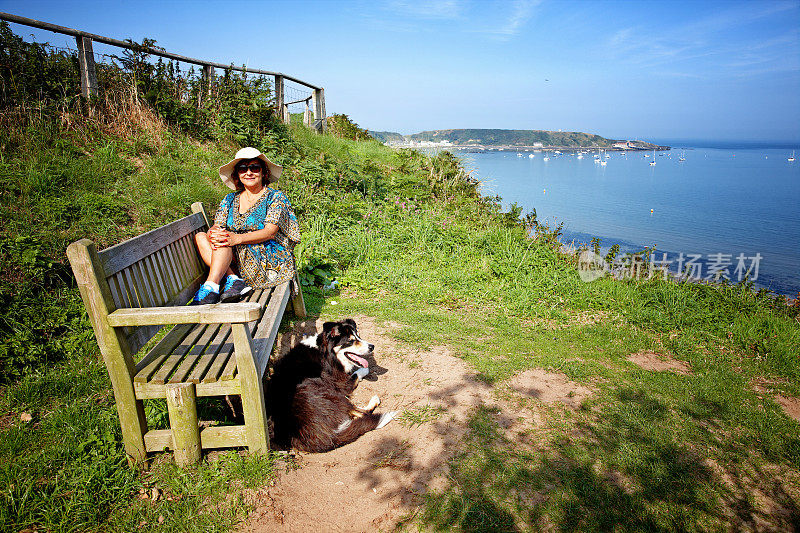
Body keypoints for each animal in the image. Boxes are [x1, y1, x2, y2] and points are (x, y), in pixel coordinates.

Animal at [268, 318, 396, 450]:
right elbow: (356, 374)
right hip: (331, 393)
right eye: (350, 341)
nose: (372, 347)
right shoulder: (341, 383)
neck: (325, 352)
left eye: (358, 336)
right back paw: (374, 400)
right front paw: (365, 369)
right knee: (364, 413)